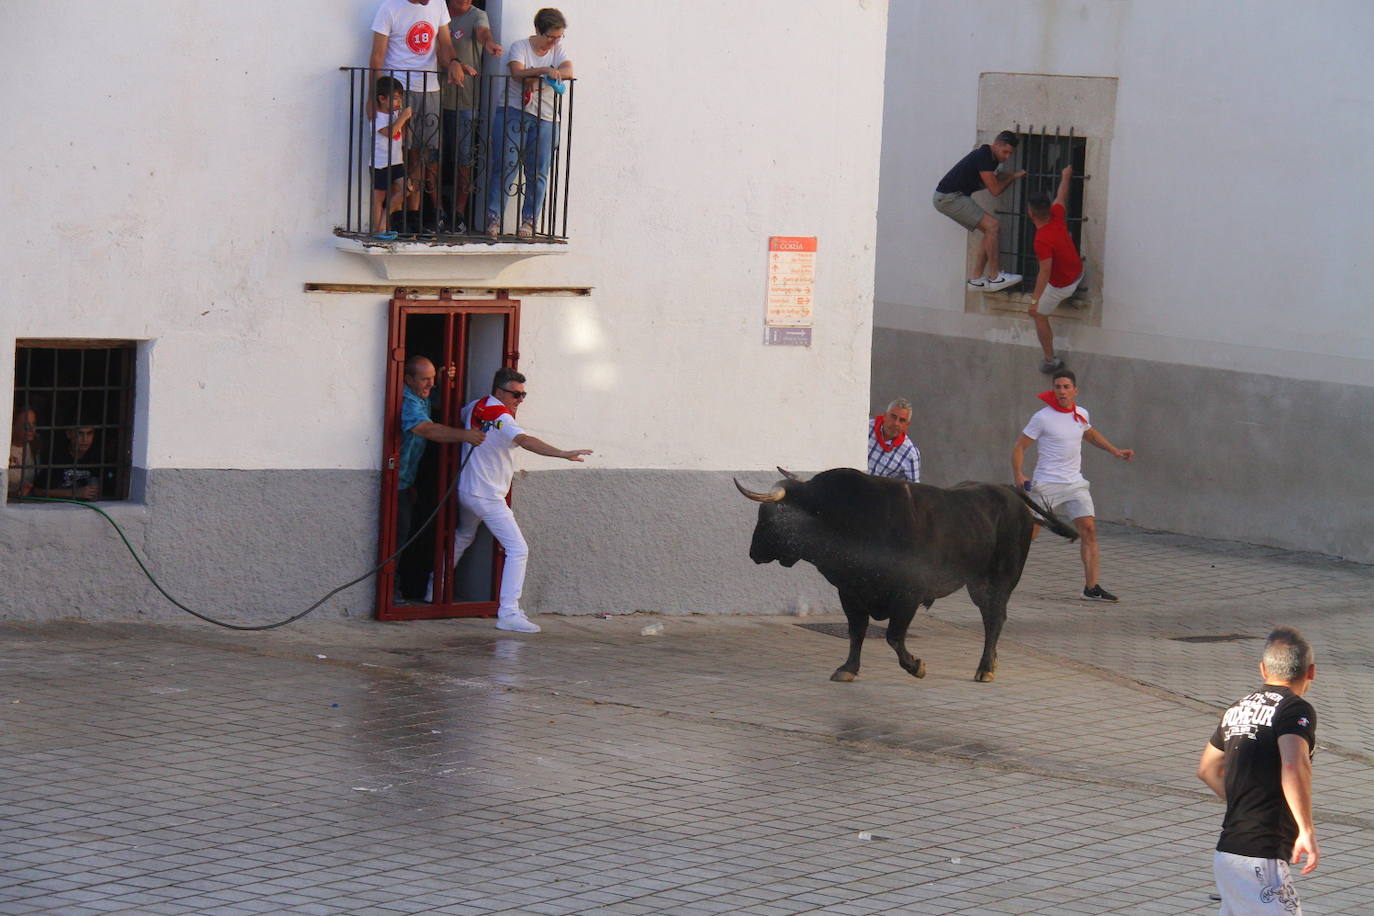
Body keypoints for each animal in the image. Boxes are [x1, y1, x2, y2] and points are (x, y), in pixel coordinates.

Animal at [736, 472, 1077, 681]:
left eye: (769, 517)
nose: (753, 553)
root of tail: (1006, 490)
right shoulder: (850, 593)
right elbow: (856, 632)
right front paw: (848, 669)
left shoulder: (908, 595)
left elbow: (893, 636)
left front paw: (916, 666)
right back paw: (991, 663)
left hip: (998, 581)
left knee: (994, 619)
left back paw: (985, 668)